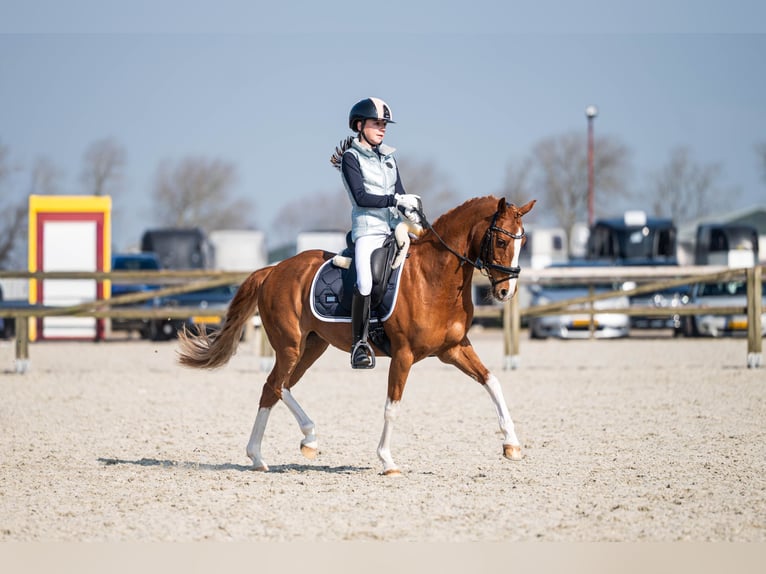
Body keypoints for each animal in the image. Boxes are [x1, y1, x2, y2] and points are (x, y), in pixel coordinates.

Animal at [177, 195, 536, 475]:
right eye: (501, 241)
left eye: (523, 242)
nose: (506, 292)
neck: (434, 277)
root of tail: (274, 269)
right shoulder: (404, 355)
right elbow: (392, 405)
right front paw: (387, 461)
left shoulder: (455, 348)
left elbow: (492, 381)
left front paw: (512, 445)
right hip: (290, 346)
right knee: (274, 386)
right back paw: (284, 446)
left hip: (312, 346)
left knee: (278, 388)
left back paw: (283, 449)